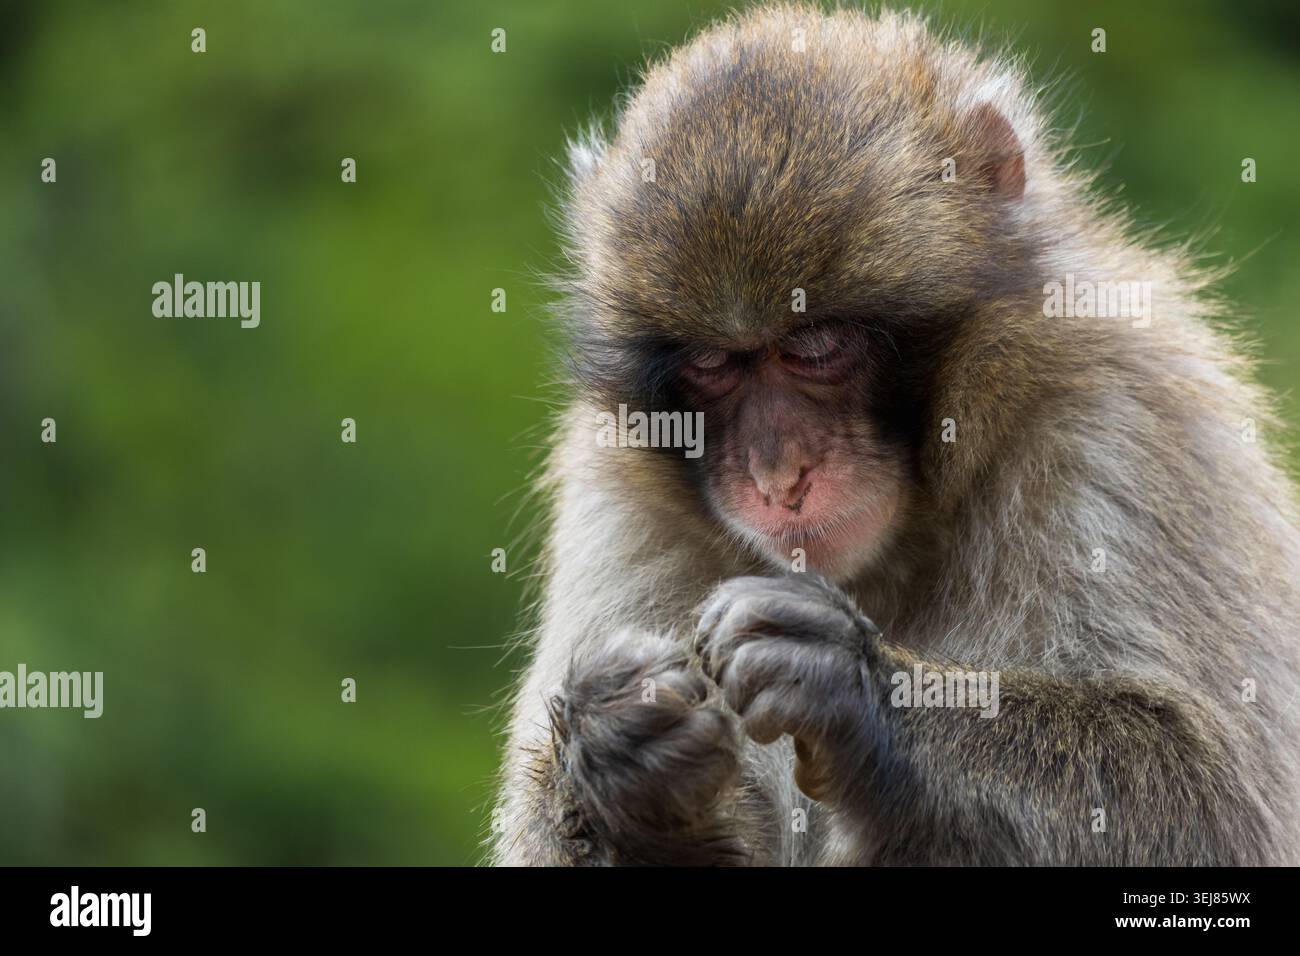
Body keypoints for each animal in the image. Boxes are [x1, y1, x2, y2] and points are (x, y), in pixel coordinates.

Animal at [490, 4, 1300, 866]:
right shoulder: (615, 492)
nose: (780, 474)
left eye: (816, 347)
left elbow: (1214, 803)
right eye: (714, 364)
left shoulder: (1126, 414)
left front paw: (855, 684)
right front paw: (623, 751)